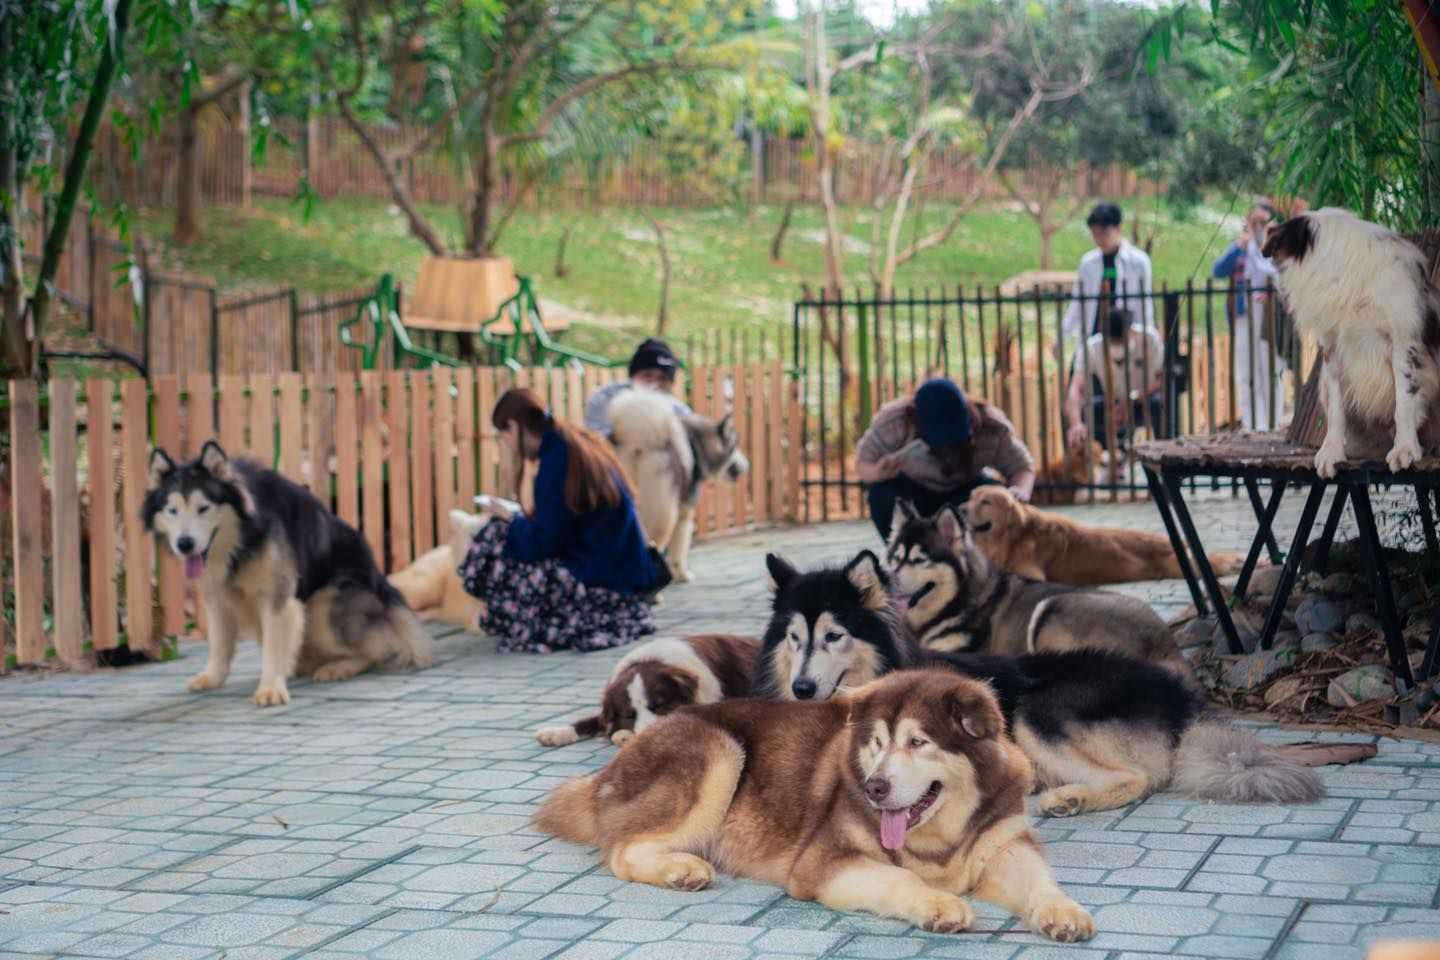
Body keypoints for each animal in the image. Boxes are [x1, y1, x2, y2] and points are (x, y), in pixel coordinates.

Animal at [535, 633, 760, 748]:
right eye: (629, 715)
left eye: (660, 705)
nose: (648, 737)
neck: (649, 660)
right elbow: (589, 722)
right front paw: (555, 732)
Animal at [1267, 207, 1440, 477]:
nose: (1277, 291)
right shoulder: (1332, 351)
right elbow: (1337, 411)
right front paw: (1332, 451)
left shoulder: (1403, 344)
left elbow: (1404, 403)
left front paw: (1404, 448)